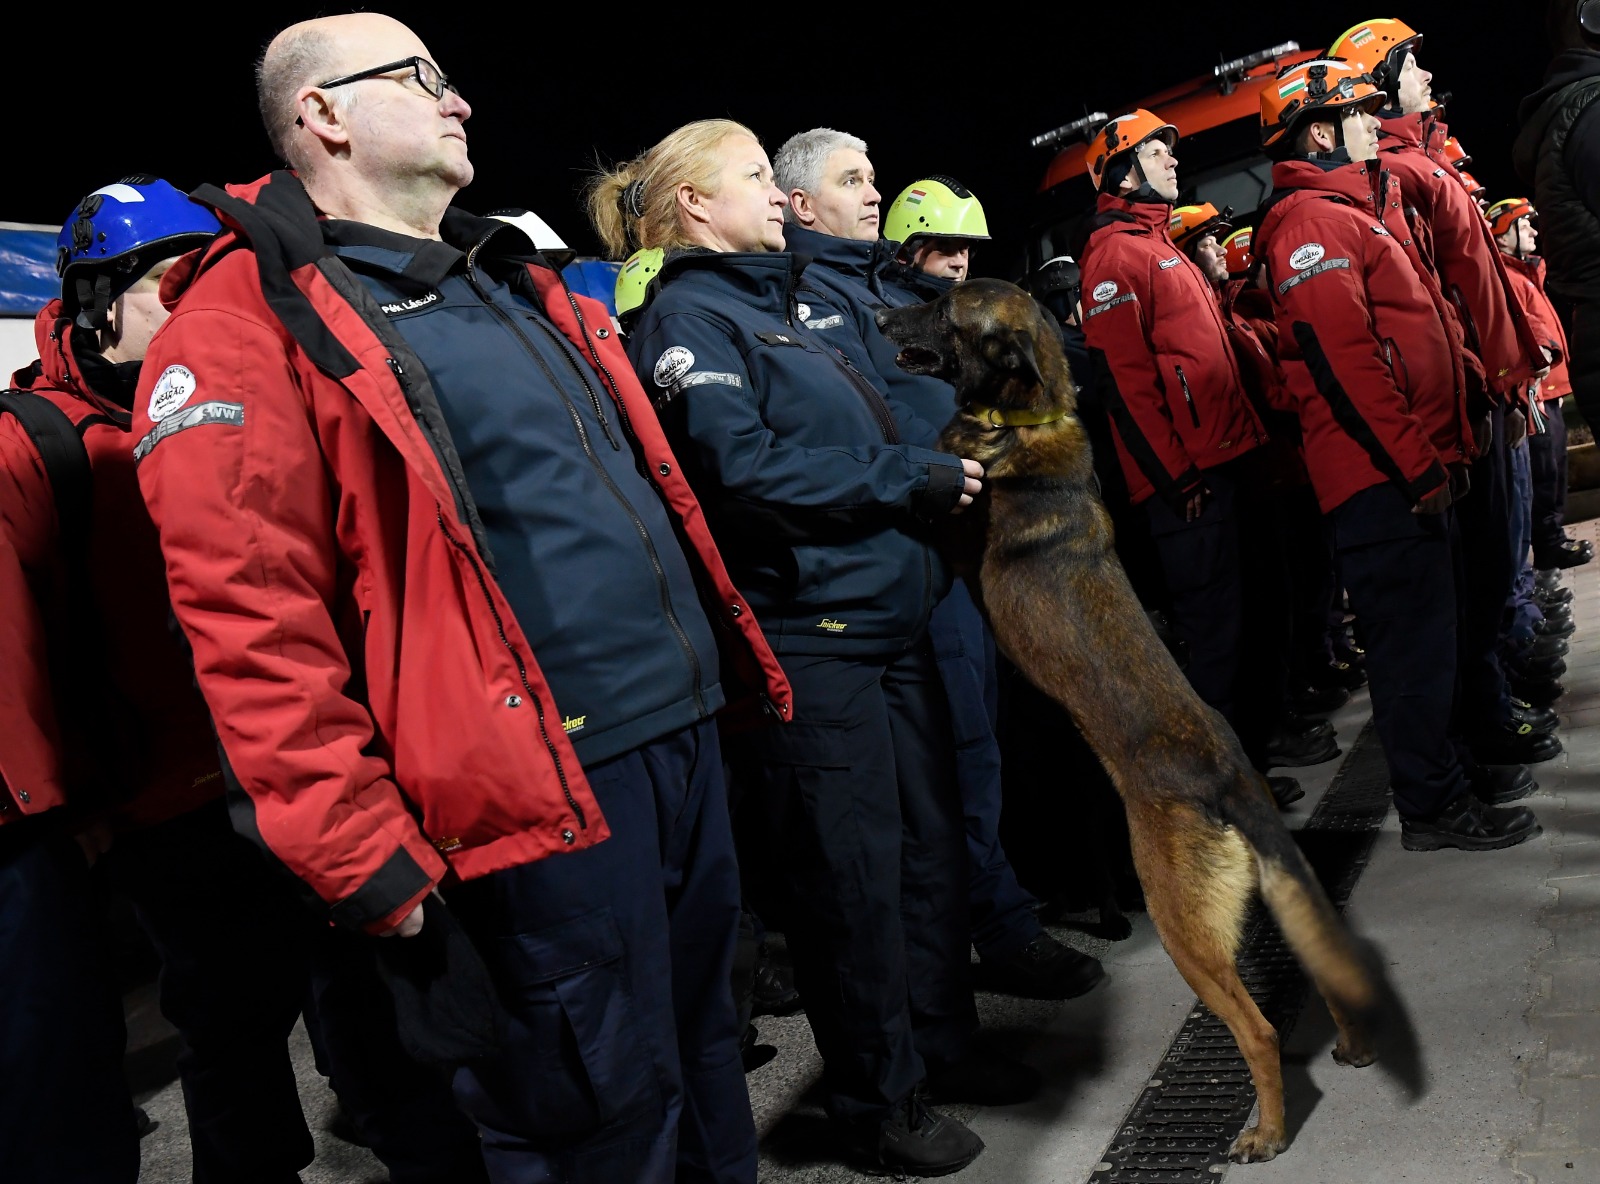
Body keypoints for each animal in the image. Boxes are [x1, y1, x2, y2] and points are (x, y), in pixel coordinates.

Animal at [883, 280, 1420, 1164]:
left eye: (943, 305)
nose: (881, 308)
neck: (1025, 417)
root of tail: (1230, 780)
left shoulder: (949, 530)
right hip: (1276, 898)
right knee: (1320, 965)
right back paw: (1350, 1046)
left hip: (1182, 928)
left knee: (1258, 1030)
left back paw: (1266, 1131)